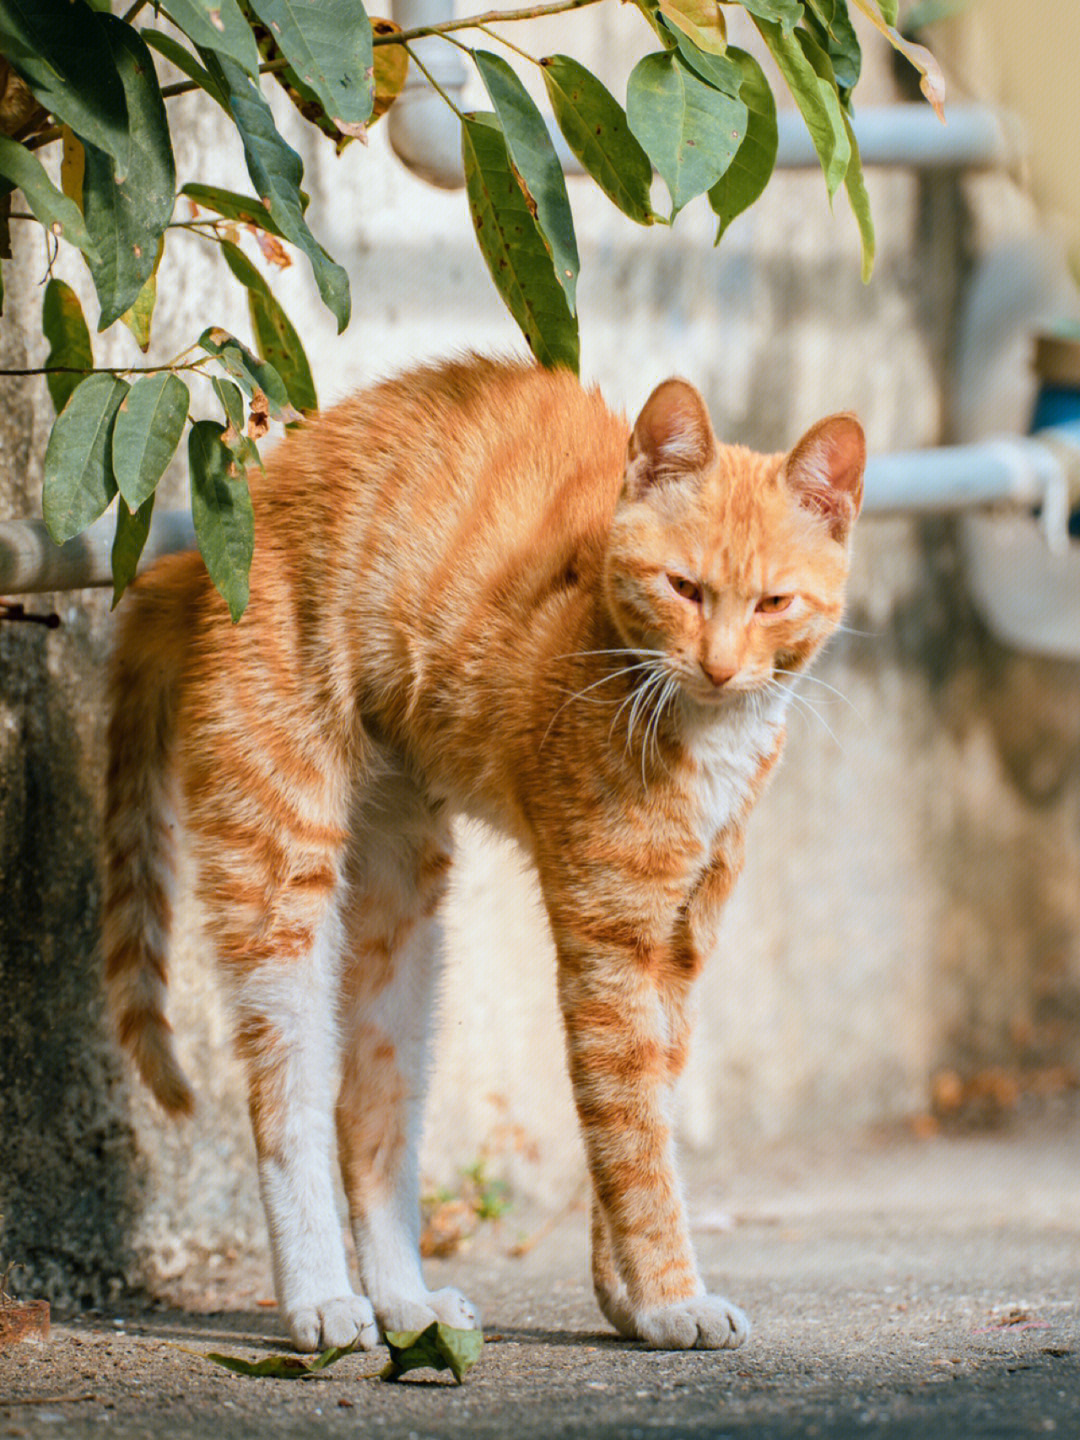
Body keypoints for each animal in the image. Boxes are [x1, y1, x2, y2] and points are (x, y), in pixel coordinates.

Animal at [101, 357, 864, 1347]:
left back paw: (404, 1301)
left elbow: (644, 1109)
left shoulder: (679, 939)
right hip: (282, 875)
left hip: (403, 923)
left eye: (775, 602)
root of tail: (202, 561)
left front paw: (625, 1296)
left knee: (369, 1113)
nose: (722, 667)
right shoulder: (609, 938)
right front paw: (670, 1296)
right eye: (684, 588)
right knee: (288, 1100)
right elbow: (631, 1132)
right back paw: (320, 1298)